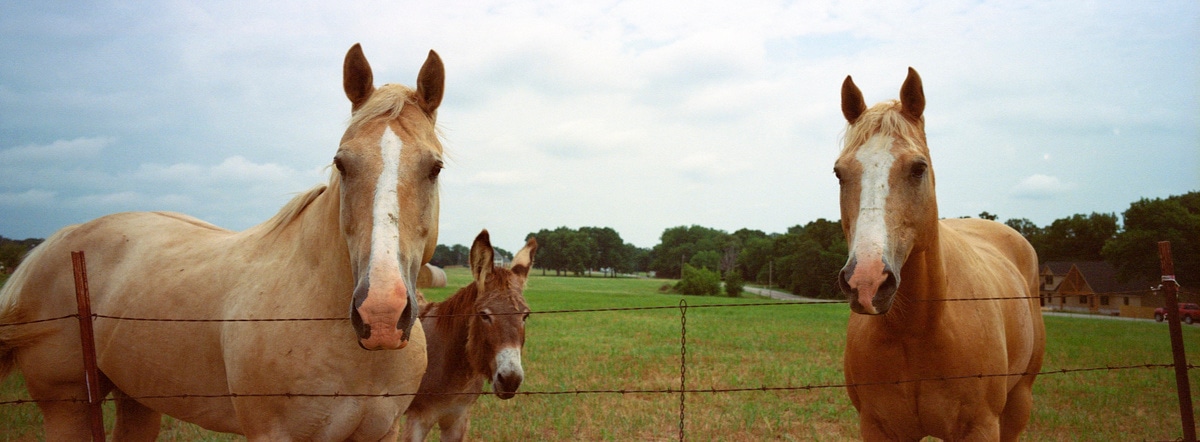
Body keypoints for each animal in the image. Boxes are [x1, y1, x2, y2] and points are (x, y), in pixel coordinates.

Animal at [0, 43, 445, 440]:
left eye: (434, 167)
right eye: (342, 163)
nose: (382, 314)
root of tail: (53, 244)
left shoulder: (381, 432)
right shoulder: (272, 434)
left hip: (138, 398)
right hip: (67, 405)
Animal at [834, 68, 1046, 441]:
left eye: (918, 168)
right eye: (839, 172)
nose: (867, 281)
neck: (918, 327)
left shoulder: (981, 427)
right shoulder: (878, 427)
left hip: (1019, 401)